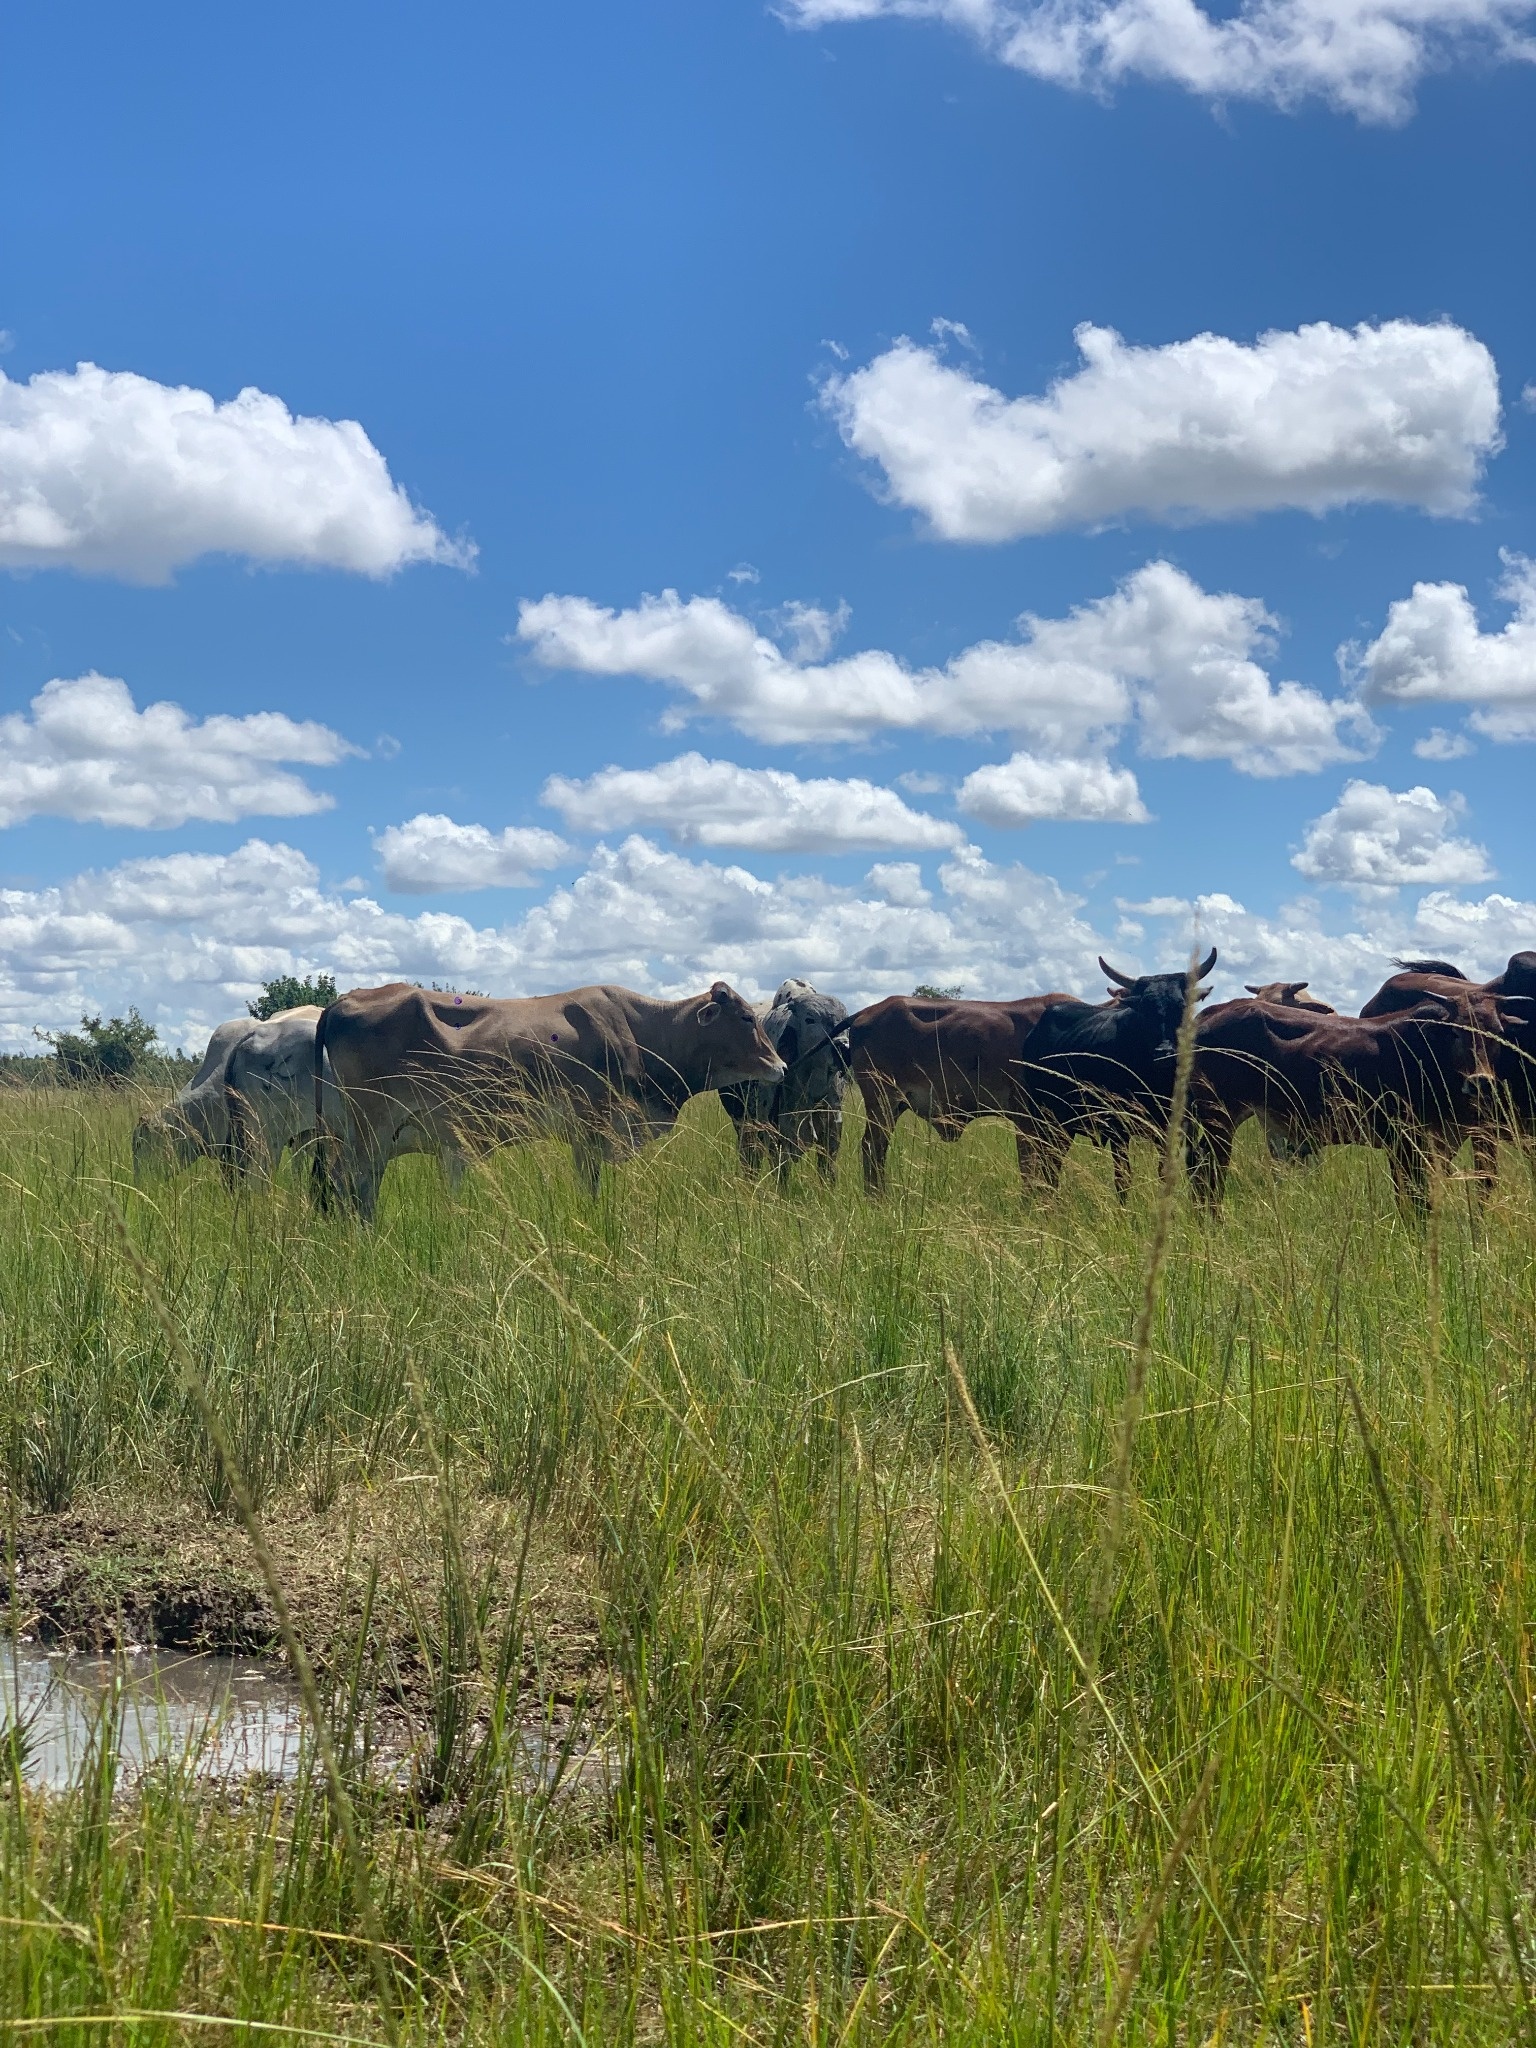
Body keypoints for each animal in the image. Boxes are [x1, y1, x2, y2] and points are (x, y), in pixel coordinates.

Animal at [314, 979, 784, 1219]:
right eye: (747, 1017)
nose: (781, 1066)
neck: (641, 1031)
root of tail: (342, 1001)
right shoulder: (593, 1129)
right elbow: (590, 1187)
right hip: (370, 1128)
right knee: (351, 1181)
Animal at [719, 978, 849, 1185]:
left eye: (845, 1020)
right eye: (810, 1019)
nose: (843, 1048)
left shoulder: (832, 1132)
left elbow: (827, 1172)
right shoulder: (775, 1136)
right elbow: (782, 1177)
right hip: (742, 1122)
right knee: (750, 1159)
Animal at [1010, 951, 1219, 1200]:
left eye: (1181, 1005)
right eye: (1144, 1008)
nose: (1164, 1051)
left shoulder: (1180, 1128)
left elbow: (1168, 1172)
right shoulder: (1118, 1129)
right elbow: (1123, 1179)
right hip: (1044, 1117)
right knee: (1047, 1161)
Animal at [1187, 987, 1523, 1211]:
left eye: (1497, 1031)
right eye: (1455, 1032)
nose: (1481, 1082)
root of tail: (1208, 1016)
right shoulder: (1404, 1142)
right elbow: (1415, 1203)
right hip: (1219, 1118)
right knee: (1207, 1171)